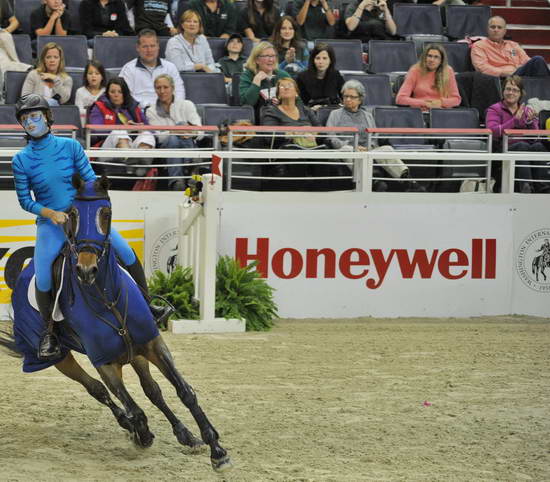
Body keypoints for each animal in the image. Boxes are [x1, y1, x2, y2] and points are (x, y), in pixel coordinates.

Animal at [2, 173, 232, 470]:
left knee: (152, 390)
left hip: (134, 352)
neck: (106, 297)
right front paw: (141, 433)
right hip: (60, 358)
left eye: (106, 213)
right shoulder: (106, 363)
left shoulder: (151, 344)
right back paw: (131, 425)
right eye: (73, 214)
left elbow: (183, 392)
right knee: (97, 390)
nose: (86, 270)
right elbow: (133, 407)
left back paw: (185, 435)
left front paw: (216, 449)